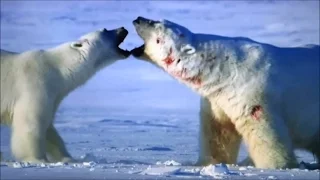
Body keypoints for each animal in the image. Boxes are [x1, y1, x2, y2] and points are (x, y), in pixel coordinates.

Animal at [0, 27, 130, 163]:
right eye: (104, 30)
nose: (123, 29)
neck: (57, 68)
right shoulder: (35, 85)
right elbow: (31, 123)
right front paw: (37, 159)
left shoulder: (53, 94)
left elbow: (49, 130)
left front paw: (67, 158)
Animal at [131, 16, 318, 169]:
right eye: (157, 20)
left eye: (157, 31)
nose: (138, 19)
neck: (224, 69)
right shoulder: (219, 97)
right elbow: (218, 132)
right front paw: (208, 163)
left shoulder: (253, 92)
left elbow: (264, 133)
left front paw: (277, 167)